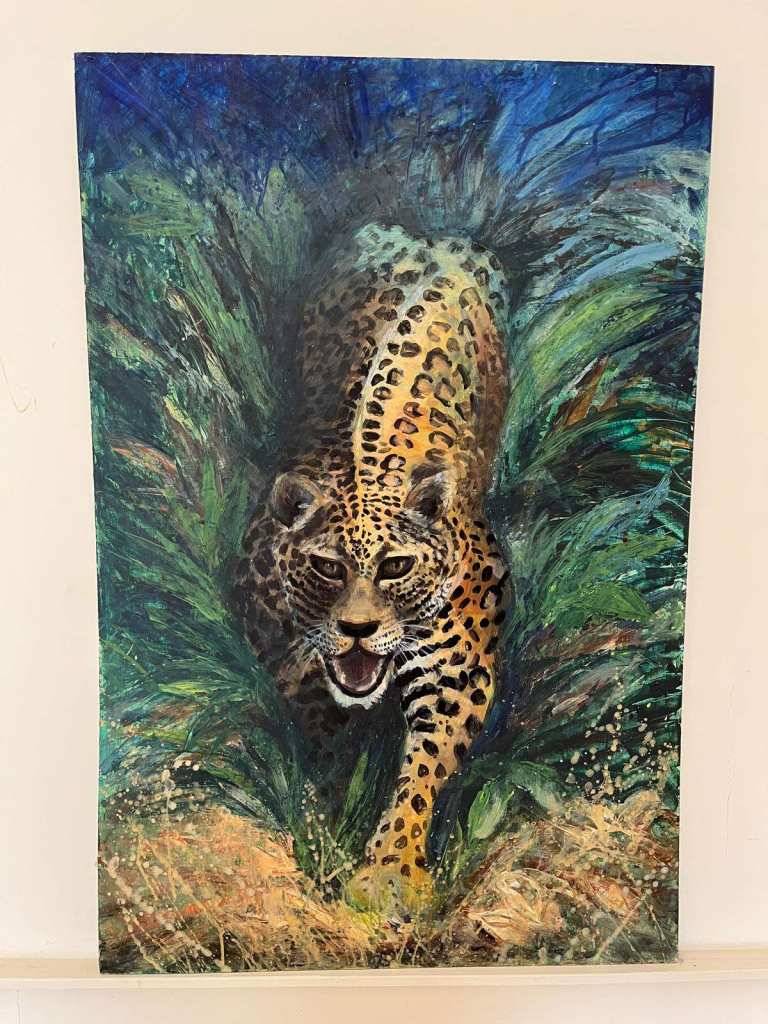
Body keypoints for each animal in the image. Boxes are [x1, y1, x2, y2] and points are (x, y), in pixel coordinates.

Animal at [234, 222, 510, 913]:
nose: (356, 630)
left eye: (398, 567)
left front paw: (388, 872)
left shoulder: (456, 672)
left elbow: (420, 773)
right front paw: (325, 830)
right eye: (327, 568)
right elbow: (324, 749)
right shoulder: (289, 661)